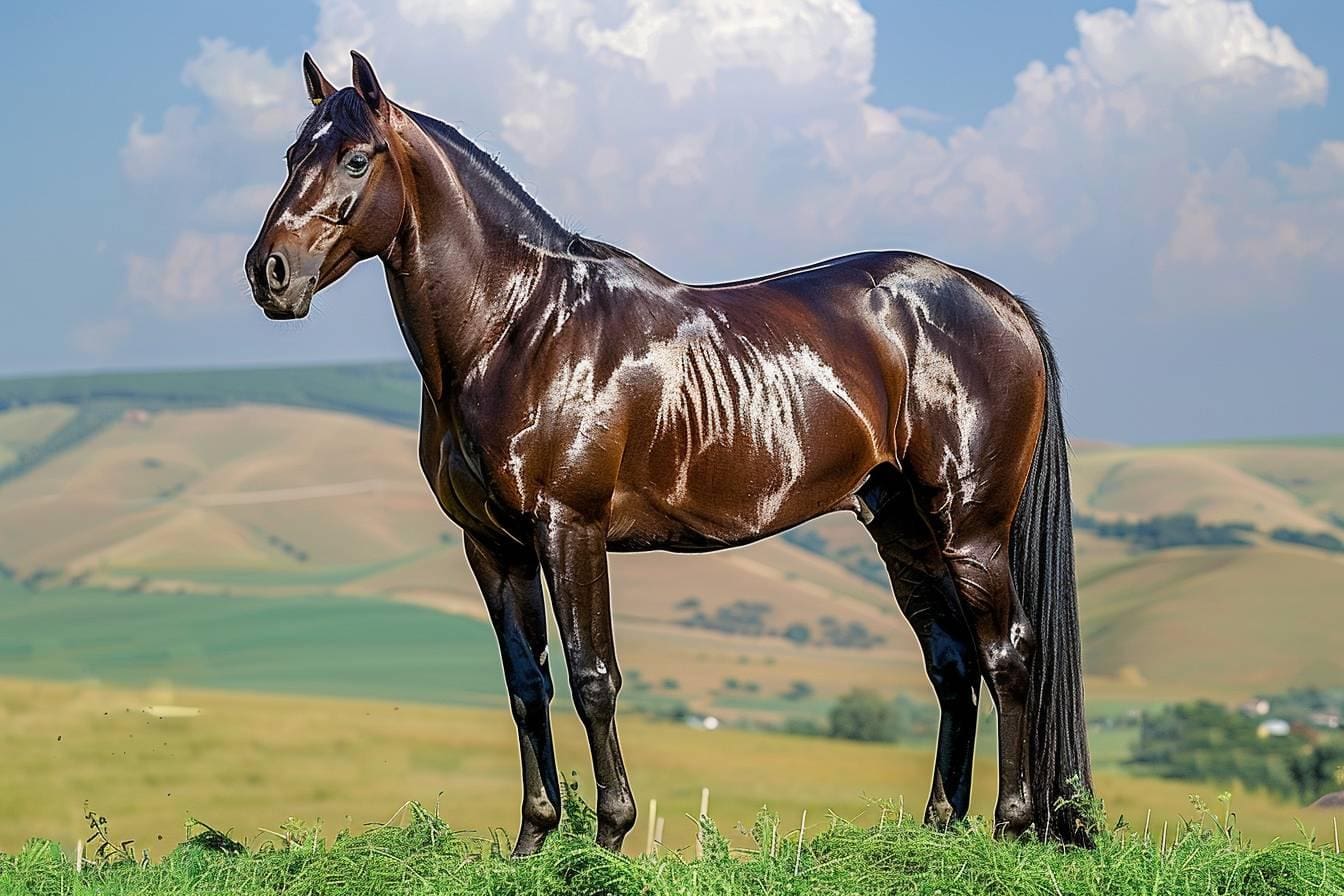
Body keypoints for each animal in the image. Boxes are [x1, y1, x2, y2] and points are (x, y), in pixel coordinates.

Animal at [246, 51, 1093, 854]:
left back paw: (1011, 826)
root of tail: (1001, 303)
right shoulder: (491, 544)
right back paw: (936, 831)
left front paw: (610, 835)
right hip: (903, 529)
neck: (517, 328)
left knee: (1008, 654)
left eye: (358, 158)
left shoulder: (570, 526)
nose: (269, 273)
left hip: (970, 528)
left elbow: (593, 677)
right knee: (953, 667)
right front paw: (533, 839)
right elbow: (526, 686)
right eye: (291, 153)